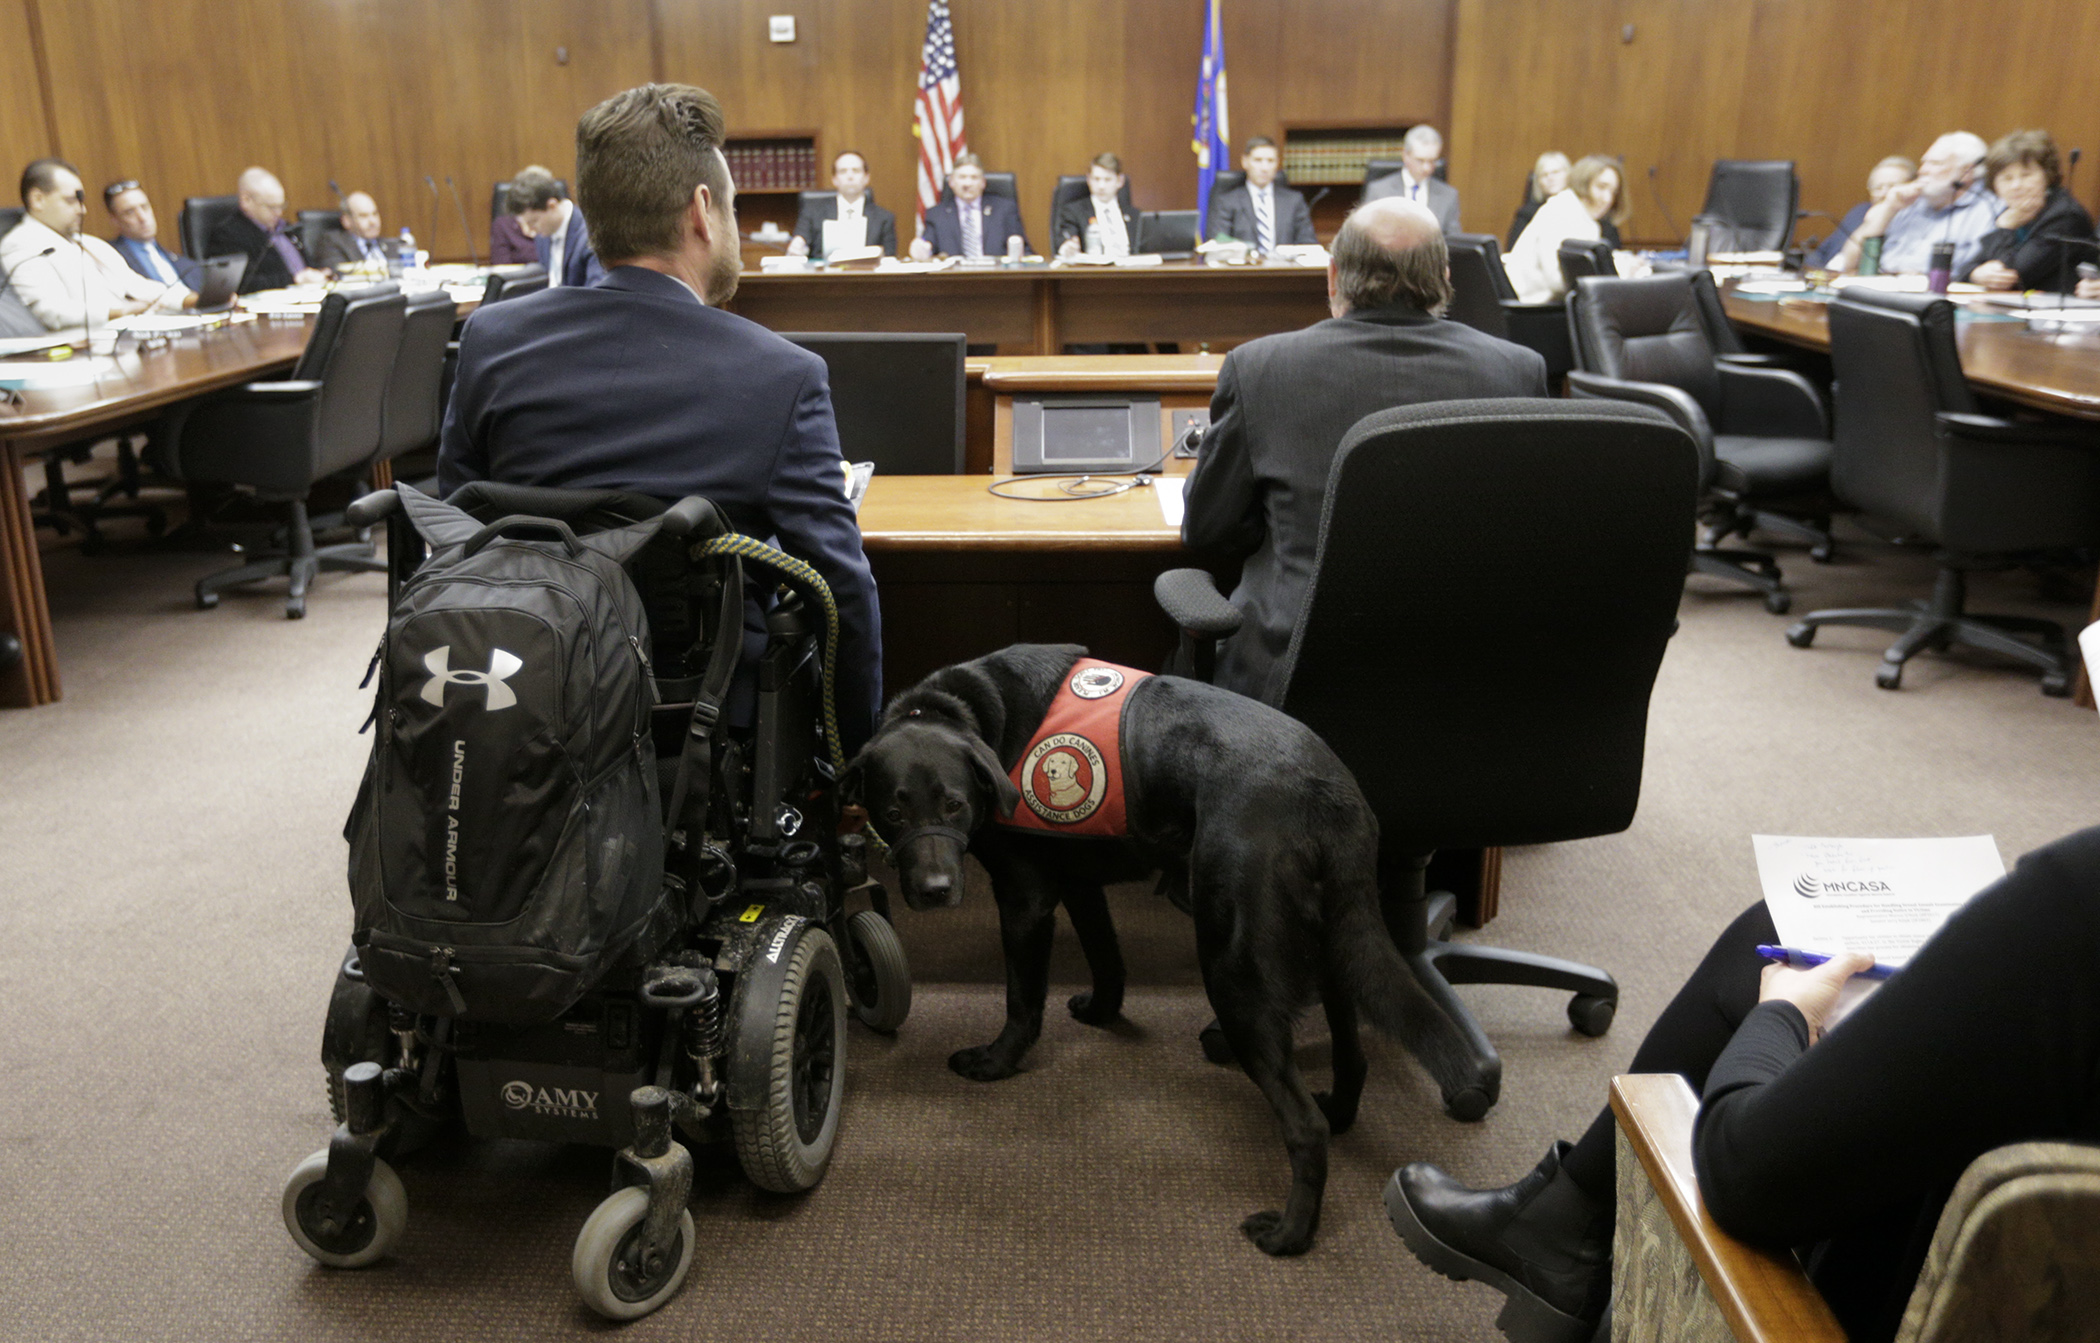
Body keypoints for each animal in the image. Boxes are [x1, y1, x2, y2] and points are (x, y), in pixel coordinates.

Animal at [844, 646, 1469, 1250]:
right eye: (893, 812)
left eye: (954, 804)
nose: (934, 891)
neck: (968, 714)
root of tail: (1329, 794)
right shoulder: (1079, 882)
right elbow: (1106, 957)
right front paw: (1101, 1012)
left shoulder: (1025, 898)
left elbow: (1022, 1000)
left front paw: (995, 1062)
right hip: (1332, 939)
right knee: (1352, 1050)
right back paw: (1339, 1112)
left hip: (1233, 967)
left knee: (1303, 1124)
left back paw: (1290, 1234)